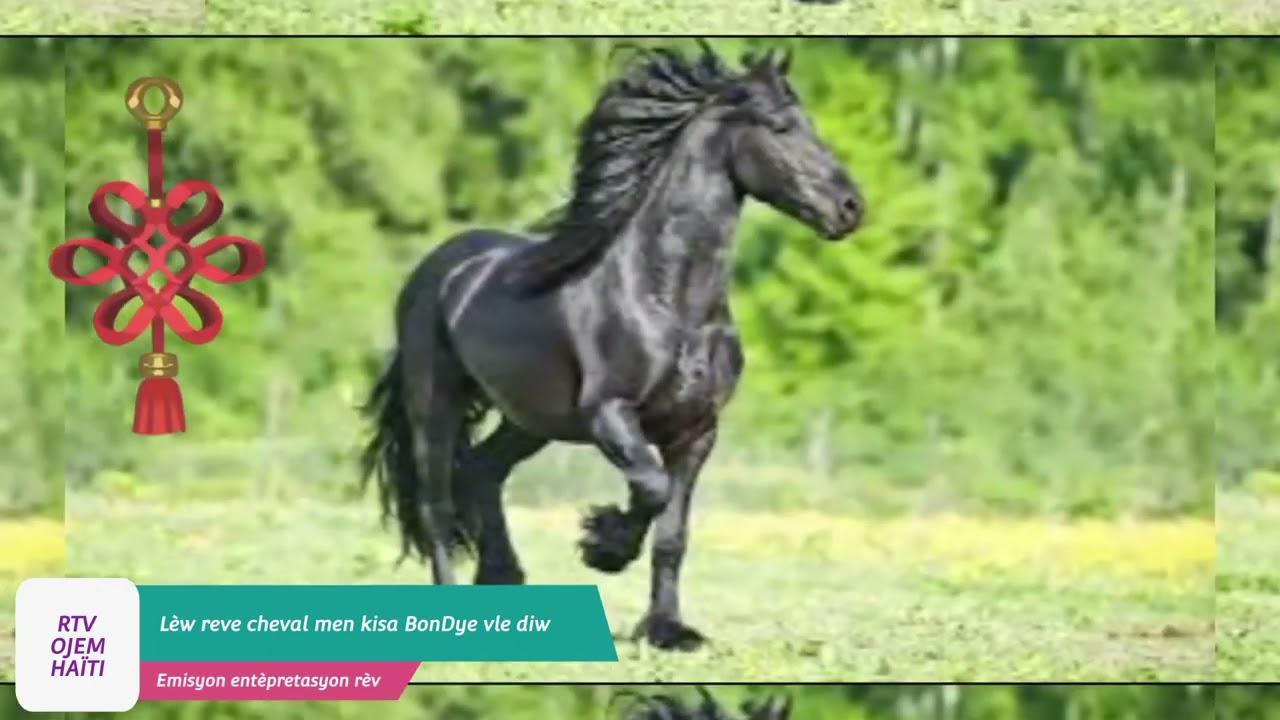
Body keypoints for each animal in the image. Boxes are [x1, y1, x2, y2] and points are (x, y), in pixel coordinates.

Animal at [362, 40, 863, 651]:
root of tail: (439, 267)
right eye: (781, 127)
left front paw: (668, 630)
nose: (850, 207)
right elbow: (650, 488)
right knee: (437, 504)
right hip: (434, 406)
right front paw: (603, 546)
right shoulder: (610, 414)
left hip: (529, 419)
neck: (669, 303)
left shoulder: (696, 431)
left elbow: (673, 533)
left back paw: (502, 578)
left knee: (482, 470)